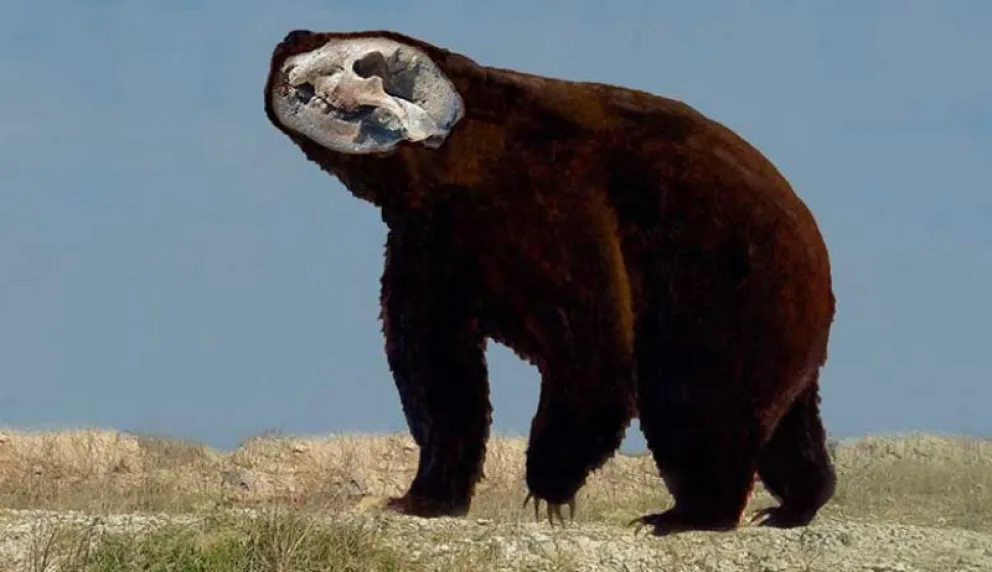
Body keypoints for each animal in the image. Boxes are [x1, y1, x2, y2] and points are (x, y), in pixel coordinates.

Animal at [262, 28, 837, 536]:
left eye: (332, 58)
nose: (289, 36)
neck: (459, 157)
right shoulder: (429, 243)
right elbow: (437, 370)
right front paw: (422, 497)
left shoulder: (549, 203)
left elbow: (590, 351)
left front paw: (548, 488)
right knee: (787, 424)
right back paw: (792, 505)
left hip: (728, 292)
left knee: (697, 401)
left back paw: (685, 515)